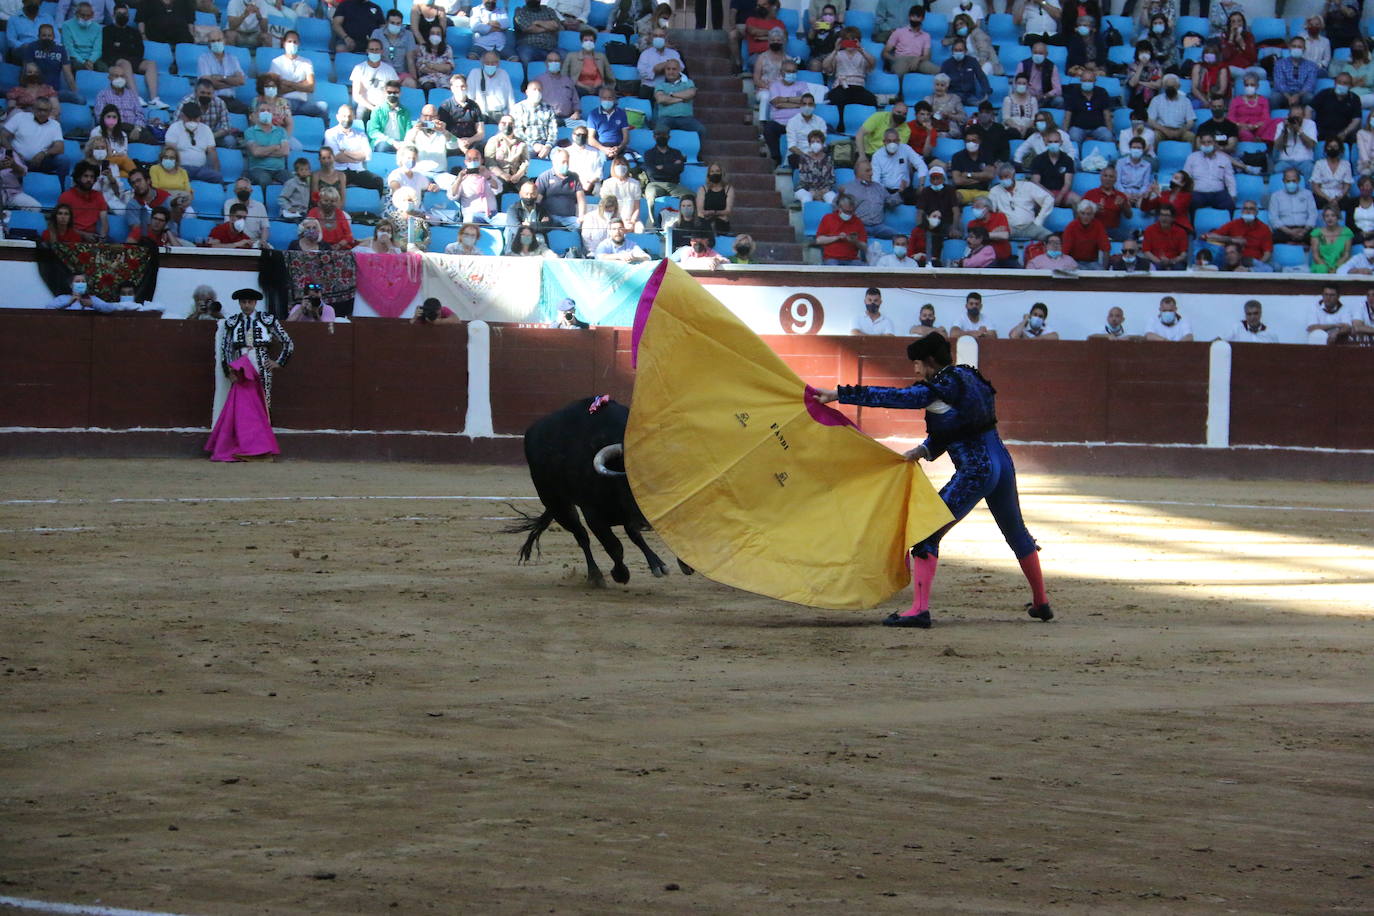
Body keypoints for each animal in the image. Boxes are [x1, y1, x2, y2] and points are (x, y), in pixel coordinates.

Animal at [511, 395, 692, 587]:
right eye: (630, 481)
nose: (647, 521)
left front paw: (684, 563)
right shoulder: (594, 515)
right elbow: (614, 546)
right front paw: (620, 574)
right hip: (557, 505)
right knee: (582, 536)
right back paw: (596, 575)